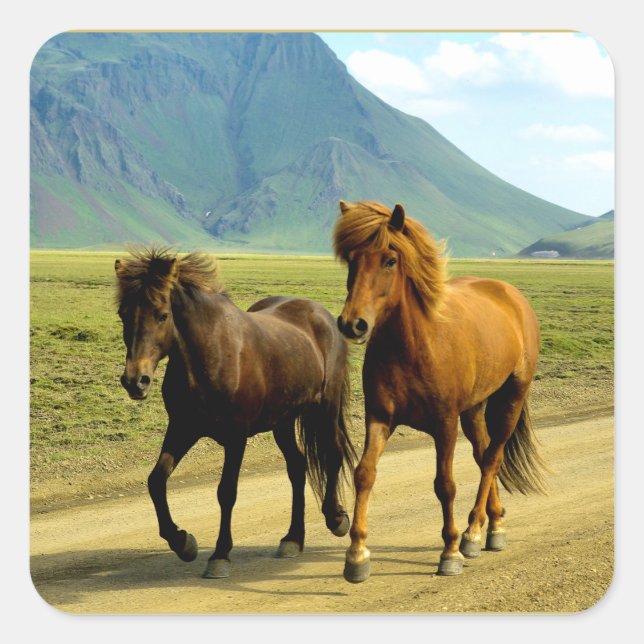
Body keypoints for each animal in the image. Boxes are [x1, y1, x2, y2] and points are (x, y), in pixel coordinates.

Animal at [114, 248, 356, 579]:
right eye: (123, 314)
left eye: (162, 315)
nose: (135, 381)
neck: (210, 356)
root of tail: (321, 315)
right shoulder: (182, 428)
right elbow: (156, 481)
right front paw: (182, 542)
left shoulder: (236, 436)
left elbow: (226, 492)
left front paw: (220, 555)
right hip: (282, 421)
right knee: (297, 467)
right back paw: (293, 538)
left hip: (325, 407)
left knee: (332, 453)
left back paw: (336, 519)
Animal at [333, 200, 547, 582]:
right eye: (351, 260)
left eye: (390, 260)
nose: (352, 324)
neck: (413, 345)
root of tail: (511, 294)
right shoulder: (379, 418)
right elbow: (364, 474)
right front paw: (357, 554)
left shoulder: (444, 423)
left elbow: (444, 484)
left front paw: (450, 550)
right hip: (474, 410)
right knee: (482, 454)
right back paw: (494, 525)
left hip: (511, 397)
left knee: (492, 458)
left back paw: (474, 532)